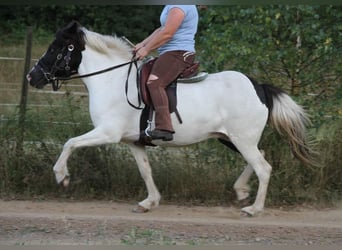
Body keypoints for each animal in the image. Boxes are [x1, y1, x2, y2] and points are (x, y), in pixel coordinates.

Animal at [28, 21, 314, 216]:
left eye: (56, 48)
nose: (32, 76)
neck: (112, 80)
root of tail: (258, 86)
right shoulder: (134, 141)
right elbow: (145, 171)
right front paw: (149, 202)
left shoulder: (107, 132)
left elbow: (70, 143)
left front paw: (61, 176)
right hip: (231, 138)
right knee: (260, 158)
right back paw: (242, 191)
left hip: (241, 139)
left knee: (263, 167)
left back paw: (254, 209)